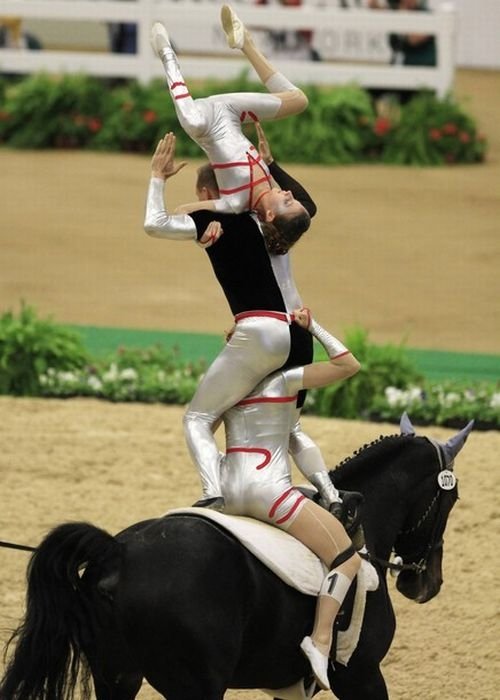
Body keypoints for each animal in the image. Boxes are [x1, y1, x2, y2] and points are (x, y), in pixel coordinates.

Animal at [1, 416, 472, 700]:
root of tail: (118, 552)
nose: (426, 583)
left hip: (117, 675)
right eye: (451, 499)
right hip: (195, 686)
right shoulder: (363, 676)